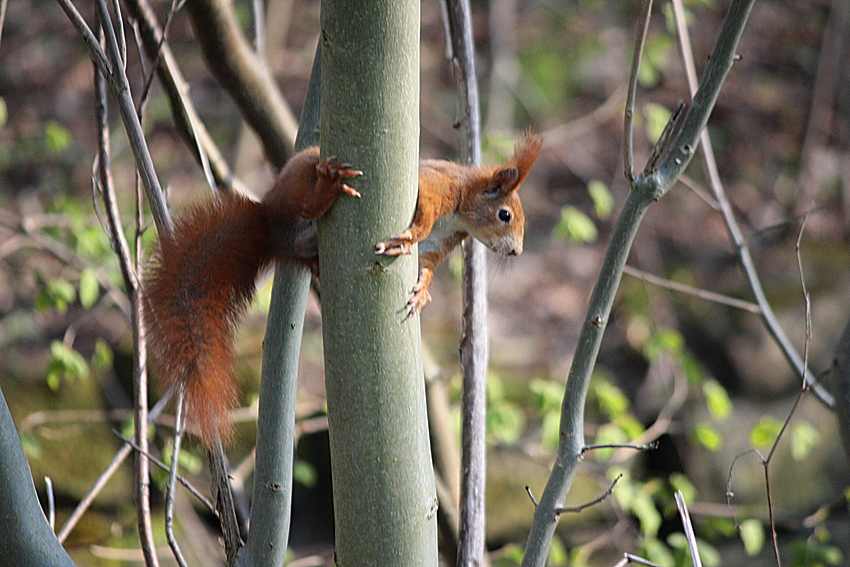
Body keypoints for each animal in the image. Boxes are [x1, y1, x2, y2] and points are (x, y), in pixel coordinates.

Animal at [144, 135, 544, 446]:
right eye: (505, 215)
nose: (517, 252)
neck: (461, 214)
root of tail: (270, 225)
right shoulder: (435, 185)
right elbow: (425, 212)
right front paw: (408, 236)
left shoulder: (439, 245)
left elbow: (427, 267)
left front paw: (422, 293)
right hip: (302, 177)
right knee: (307, 204)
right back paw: (328, 188)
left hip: (303, 241)